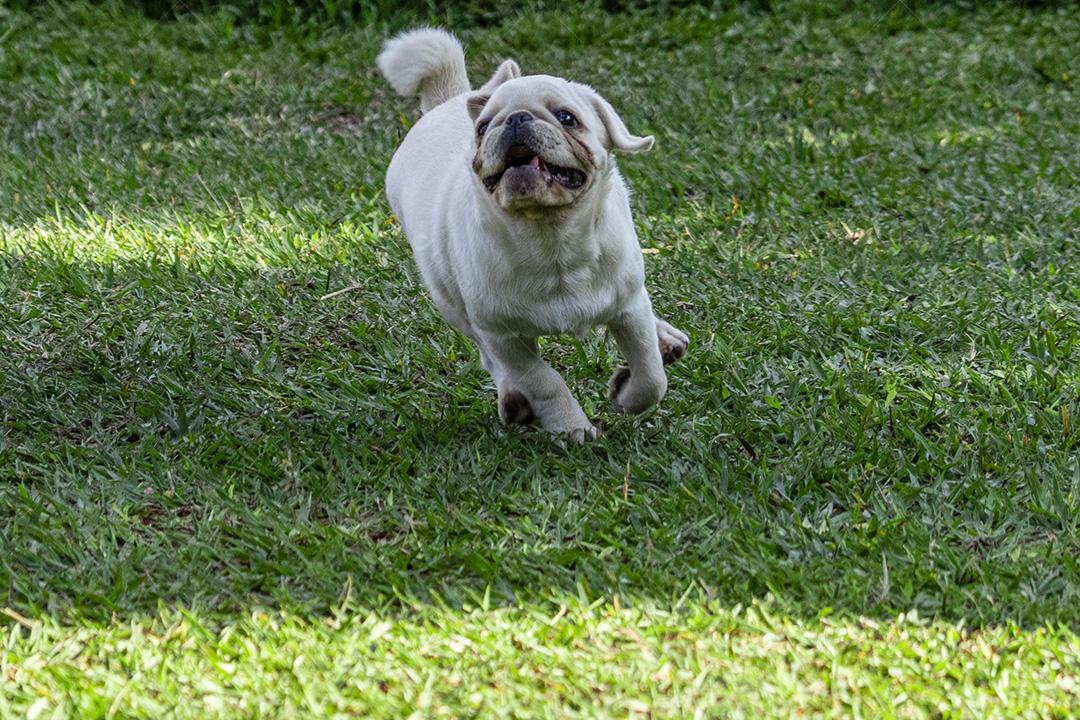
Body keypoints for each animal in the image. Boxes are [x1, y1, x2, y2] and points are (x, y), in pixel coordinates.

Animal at [375, 31, 686, 442]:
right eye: (482, 128)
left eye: (567, 118)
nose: (516, 118)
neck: (551, 237)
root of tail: (449, 100)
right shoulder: (502, 336)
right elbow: (543, 381)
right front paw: (570, 427)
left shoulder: (628, 310)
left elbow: (651, 375)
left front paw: (627, 393)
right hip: (454, 304)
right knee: (491, 361)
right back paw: (513, 398)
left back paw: (666, 338)